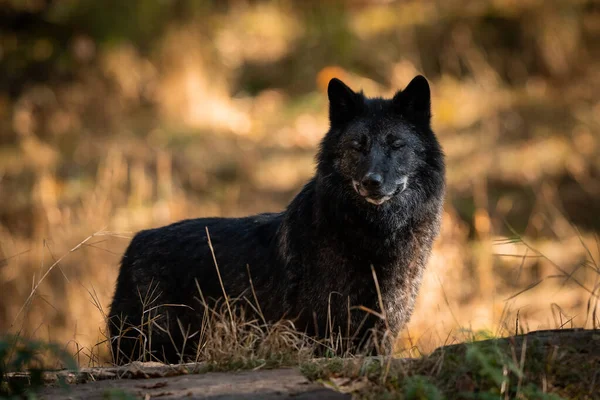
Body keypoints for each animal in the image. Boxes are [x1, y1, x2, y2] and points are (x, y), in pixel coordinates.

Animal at [108, 74, 446, 362]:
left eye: (396, 145)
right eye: (357, 146)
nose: (371, 182)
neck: (375, 236)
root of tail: (136, 242)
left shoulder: (382, 329)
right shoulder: (322, 330)